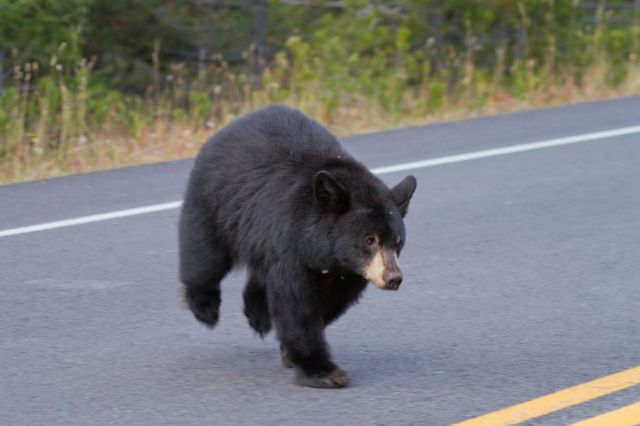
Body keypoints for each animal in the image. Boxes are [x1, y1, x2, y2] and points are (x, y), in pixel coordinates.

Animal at [179, 105, 417, 388]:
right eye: (370, 240)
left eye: (398, 242)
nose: (393, 278)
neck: (325, 252)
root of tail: (229, 126)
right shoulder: (290, 245)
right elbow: (295, 304)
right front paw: (324, 371)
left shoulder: (349, 272)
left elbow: (331, 301)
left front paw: (290, 352)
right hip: (216, 202)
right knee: (205, 257)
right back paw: (205, 307)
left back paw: (257, 313)